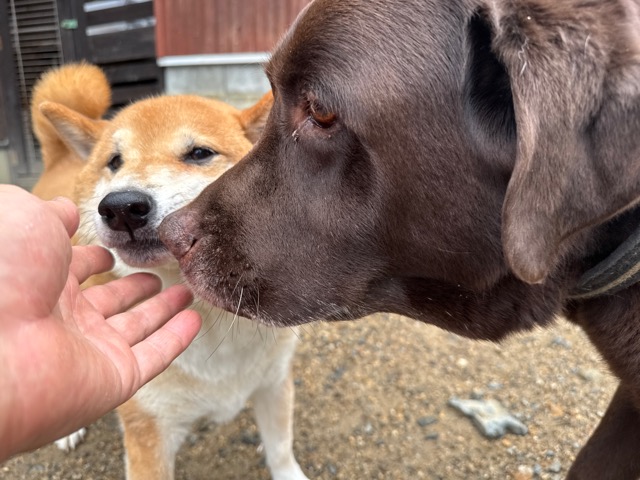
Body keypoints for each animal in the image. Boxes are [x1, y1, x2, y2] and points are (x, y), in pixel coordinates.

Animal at [31, 63, 308, 480]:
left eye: (199, 153)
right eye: (115, 161)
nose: (122, 207)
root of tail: (61, 160)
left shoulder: (273, 383)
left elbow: (281, 450)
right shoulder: (149, 430)